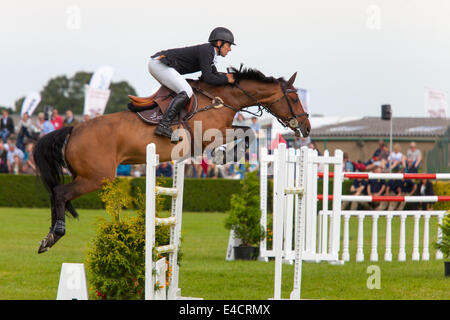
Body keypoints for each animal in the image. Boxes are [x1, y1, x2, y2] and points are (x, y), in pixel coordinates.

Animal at [34, 66, 310, 254]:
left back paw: (48, 237)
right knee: (59, 193)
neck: (221, 99)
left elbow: (246, 130)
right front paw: (225, 155)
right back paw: (55, 235)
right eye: (294, 98)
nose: (306, 128)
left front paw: (227, 154)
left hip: (85, 176)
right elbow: (248, 132)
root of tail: (74, 129)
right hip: (96, 178)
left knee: (55, 194)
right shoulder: (209, 135)